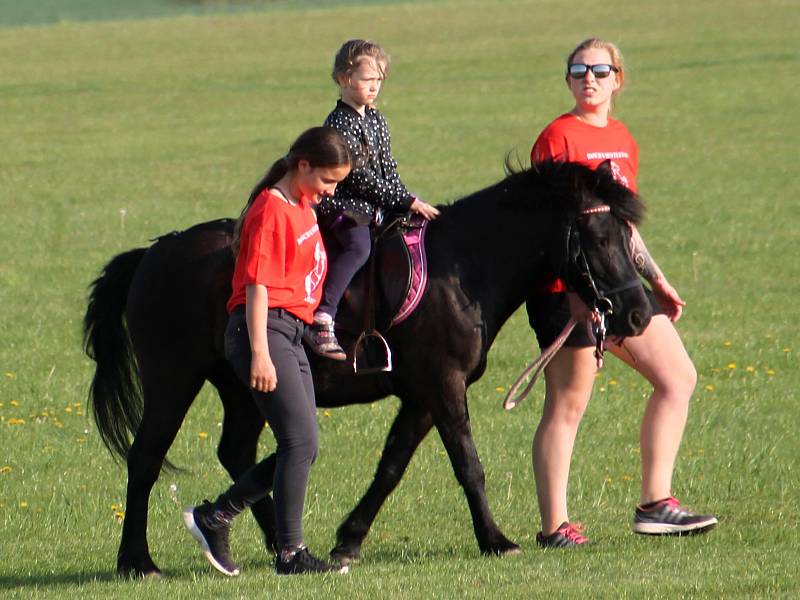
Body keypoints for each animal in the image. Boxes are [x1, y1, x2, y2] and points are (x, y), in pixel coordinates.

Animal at [84, 159, 652, 576]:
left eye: (628, 236)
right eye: (599, 238)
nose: (639, 314)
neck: (463, 268)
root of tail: (155, 252)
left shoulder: (423, 395)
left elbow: (391, 466)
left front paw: (347, 541)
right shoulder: (444, 386)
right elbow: (468, 465)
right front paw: (496, 540)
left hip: (244, 388)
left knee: (237, 451)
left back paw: (267, 543)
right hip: (172, 380)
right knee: (145, 457)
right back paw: (138, 561)